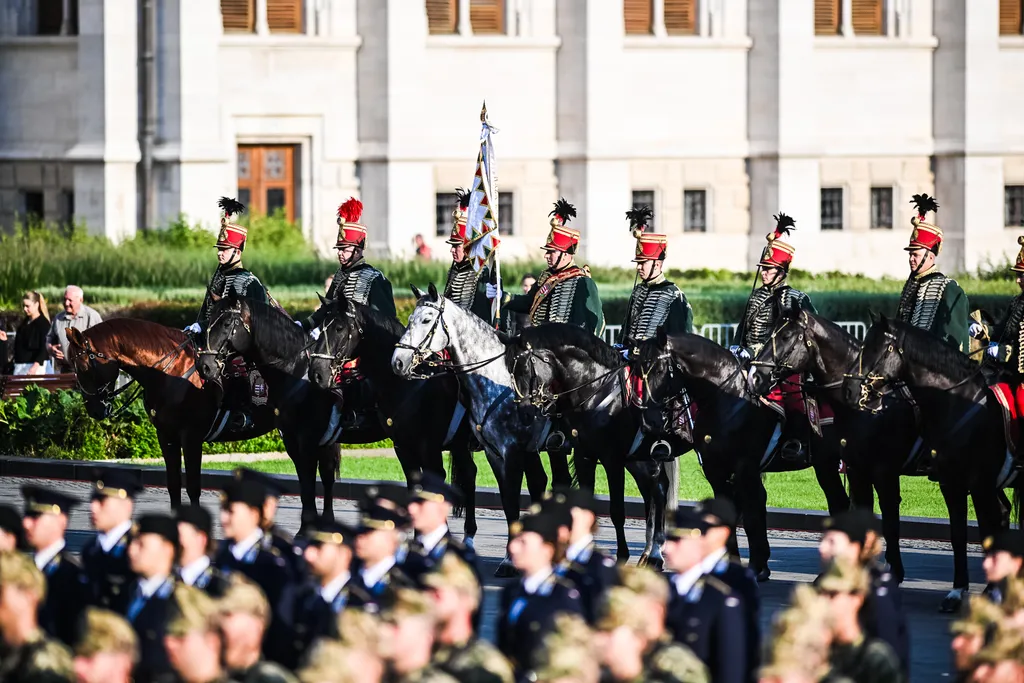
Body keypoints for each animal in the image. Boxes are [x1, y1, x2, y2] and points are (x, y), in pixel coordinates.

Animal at [66, 319, 342, 507]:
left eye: (83, 365)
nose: (95, 409)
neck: (170, 373)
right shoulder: (165, 436)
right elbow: (173, 484)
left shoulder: (191, 436)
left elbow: (193, 486)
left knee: (326, 474)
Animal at [505, 323, 684, 569]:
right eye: (510, 371)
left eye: (524, 369)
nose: (523, 413)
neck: (595, 388)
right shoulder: (584, 457)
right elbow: (586, 506)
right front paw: (583, 553)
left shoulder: (612, 460)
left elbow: (617, 510)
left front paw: (621, 555)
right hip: (639, 460)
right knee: (653, 491)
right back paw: (649, 552)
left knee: (658, 490)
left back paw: (655, 553)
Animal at [626, 327, 851, 581]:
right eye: (637, 371)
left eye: (660, 369)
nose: (648, 421)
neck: (726, 396)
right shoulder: (715, 469)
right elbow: (728, 513)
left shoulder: (745, 467)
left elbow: (752, 515)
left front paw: (757, 566)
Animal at [839, 315, 1015, 610]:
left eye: (879, 348)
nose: (849, 389)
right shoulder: (951, 482)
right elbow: (958, 535)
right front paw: (957, 591)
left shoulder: (978, 483)